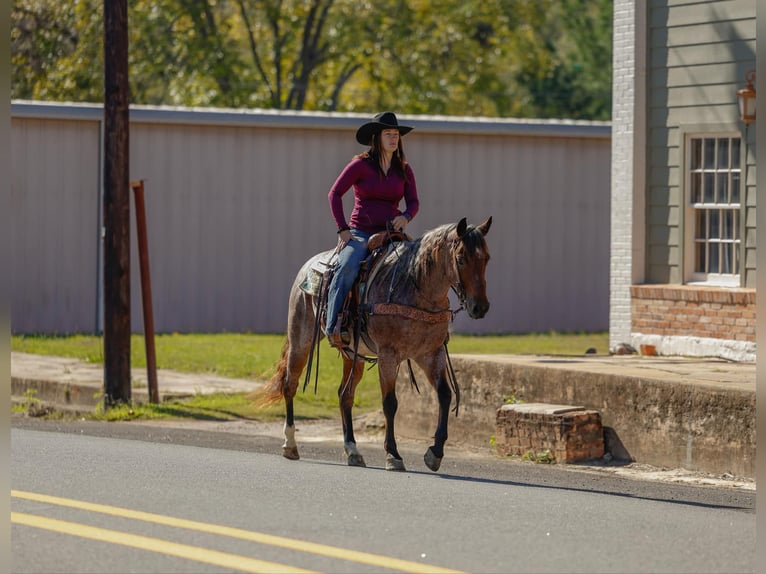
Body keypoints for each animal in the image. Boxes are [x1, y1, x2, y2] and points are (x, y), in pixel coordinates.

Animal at [256, 217, 492, 472]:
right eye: (460, 258)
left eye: (486, 258)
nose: (480, 307)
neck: (415, 287)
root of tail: (307, 267)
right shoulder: (388, 355)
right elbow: (390, 403)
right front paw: (393, 454)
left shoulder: (431, 354)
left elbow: (445, 395)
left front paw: (435, 453)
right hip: (301, 338)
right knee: (290, 384)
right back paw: (290, 444)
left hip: (353, 355)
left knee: (345, 395)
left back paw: (353, 450)